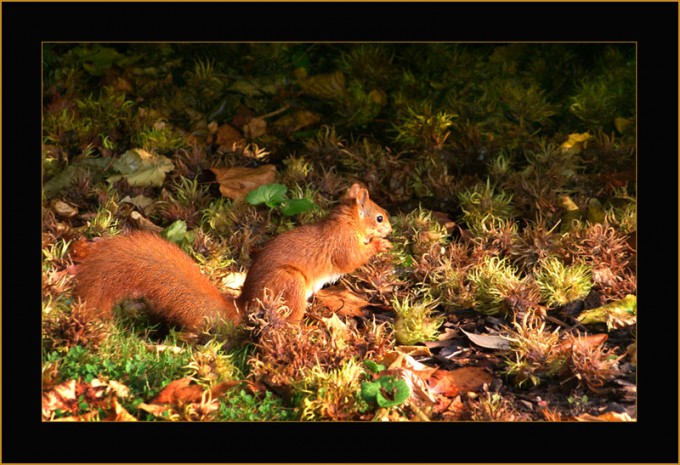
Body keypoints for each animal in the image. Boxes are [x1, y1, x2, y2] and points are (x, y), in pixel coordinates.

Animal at [72, 183, 392, 331]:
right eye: (379, 216)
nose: (391, 227)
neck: (346, 222)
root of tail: (245, 305)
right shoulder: (341, 243)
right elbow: (350, 259)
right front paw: (380, 245)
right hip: (290, 284)